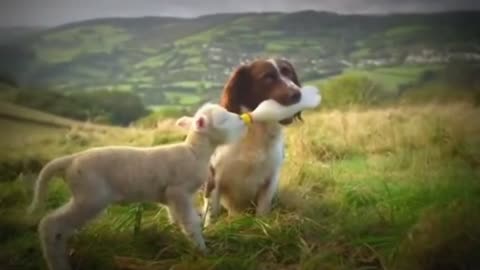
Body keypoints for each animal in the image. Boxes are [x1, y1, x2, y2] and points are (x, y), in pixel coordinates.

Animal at [27, 103, 248, 270]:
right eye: (224, 118)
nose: (242, 119)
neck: (193, 152)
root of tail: (70, 161)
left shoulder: (169, 197)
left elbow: (176, 219)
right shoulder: (179, 192)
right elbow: (191, 223)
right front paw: (203, 251)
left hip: (85, 195)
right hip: (90, 196)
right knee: (50, 224)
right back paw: (58, 263)